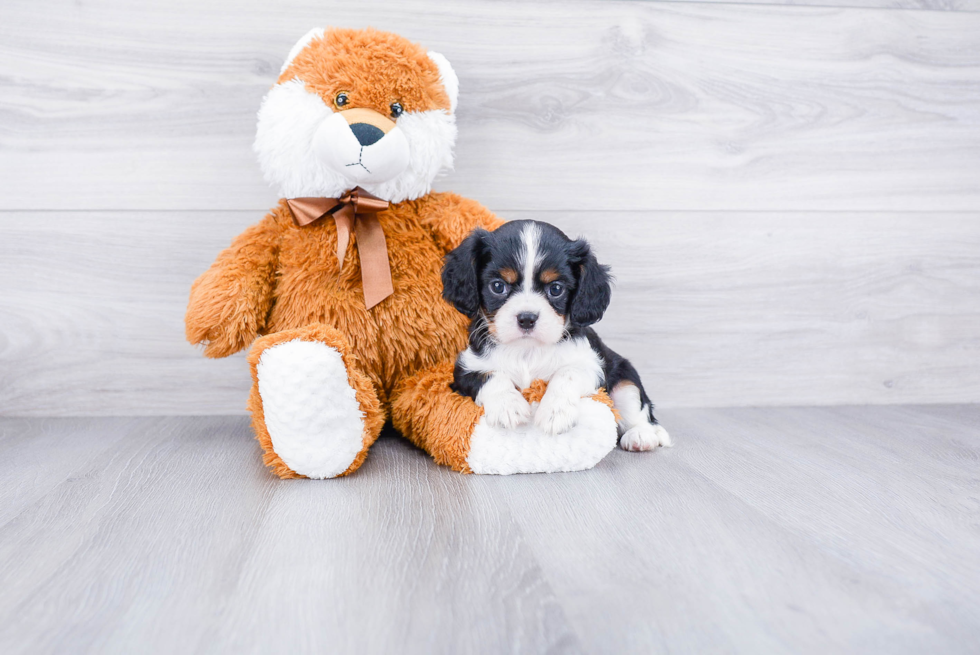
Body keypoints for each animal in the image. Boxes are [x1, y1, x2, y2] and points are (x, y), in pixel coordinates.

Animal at [440, 220, 668, 452]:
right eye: (497, 286)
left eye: (556, 289)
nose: (527, 318)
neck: (527, 350)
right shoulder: (466, 368)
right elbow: (492, 376)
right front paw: (508, 406)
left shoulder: (591, 364)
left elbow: (567, 373)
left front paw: (555, 412)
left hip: (625, 379)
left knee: (638, 409)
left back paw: (642, 435)